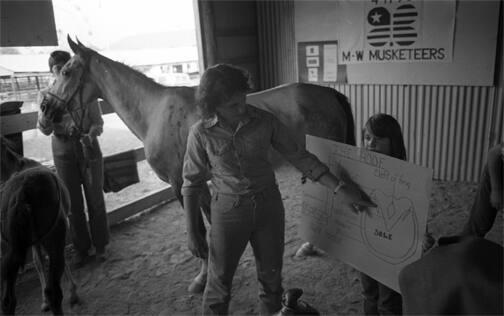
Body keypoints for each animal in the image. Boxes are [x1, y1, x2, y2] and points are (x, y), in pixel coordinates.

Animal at [0, 136, 79, 314]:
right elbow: (40, 262)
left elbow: (39, 262)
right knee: (53, 291)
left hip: (13, 248)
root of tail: (22, 192)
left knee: (8, 301)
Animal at [42, 35, 358, 294]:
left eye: (66, 72)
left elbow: (198, 231)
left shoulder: (179, 184)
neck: (155, 111)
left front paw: (202, 279)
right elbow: (210, 228)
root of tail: (329, 94)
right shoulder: (201, 184)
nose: (46, 110)